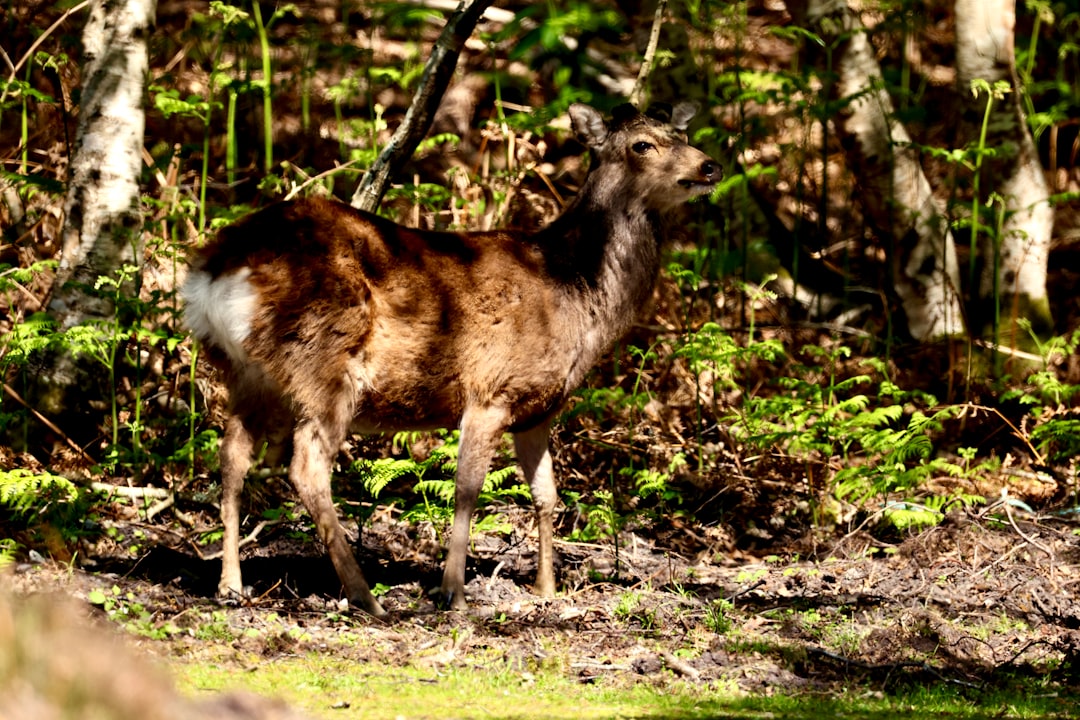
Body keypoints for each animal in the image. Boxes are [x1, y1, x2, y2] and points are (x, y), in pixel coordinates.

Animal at [182, 101, 720, 617]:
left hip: (247, 374)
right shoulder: (491, 389)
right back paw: (366, 597)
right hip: (325, 363)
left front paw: (546, 590)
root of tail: (215, 270)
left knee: (231, 457)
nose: (709, 165)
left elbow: (547, 494)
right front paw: (454, 592)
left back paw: (230, 585)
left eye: (685, 135)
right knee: (307, 466)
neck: (575, 292)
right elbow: (467, 488)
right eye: (642, 144)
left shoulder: (539, 409)